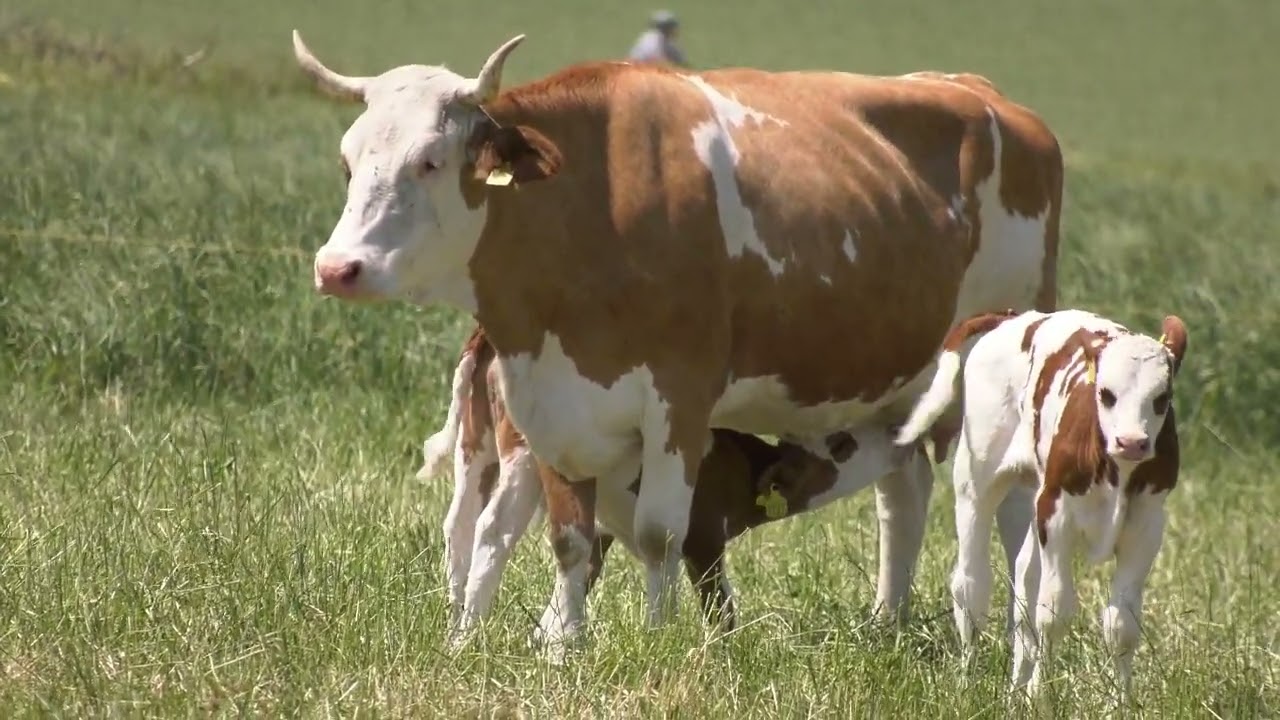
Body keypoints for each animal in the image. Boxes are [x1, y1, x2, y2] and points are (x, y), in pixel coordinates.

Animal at [421, 325, 921, 645]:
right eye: (841, 443)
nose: (897, 431)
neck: (738, 465)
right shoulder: (703, 535)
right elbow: (719, 609)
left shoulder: (605, 521)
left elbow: (582, 571)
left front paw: (547, 639)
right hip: (526, 454)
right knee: (494, 529)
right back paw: (470, 632)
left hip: (477, 446)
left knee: (459, 525)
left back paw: (457, 631)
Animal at [894, 309, 1188, 700]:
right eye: (1106, 393)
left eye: (1162, 396)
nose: (1131, 442)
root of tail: (1014, 318)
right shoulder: (1057, 516)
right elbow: (1053, 613)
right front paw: (1041, 699)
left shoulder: (1146, 526)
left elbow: (1121, 625)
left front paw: (1120, 703)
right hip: (976, 481)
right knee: (971, 587)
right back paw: (967, 683)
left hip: (1035, 496)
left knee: (1023, 586)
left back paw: (1015, 691)